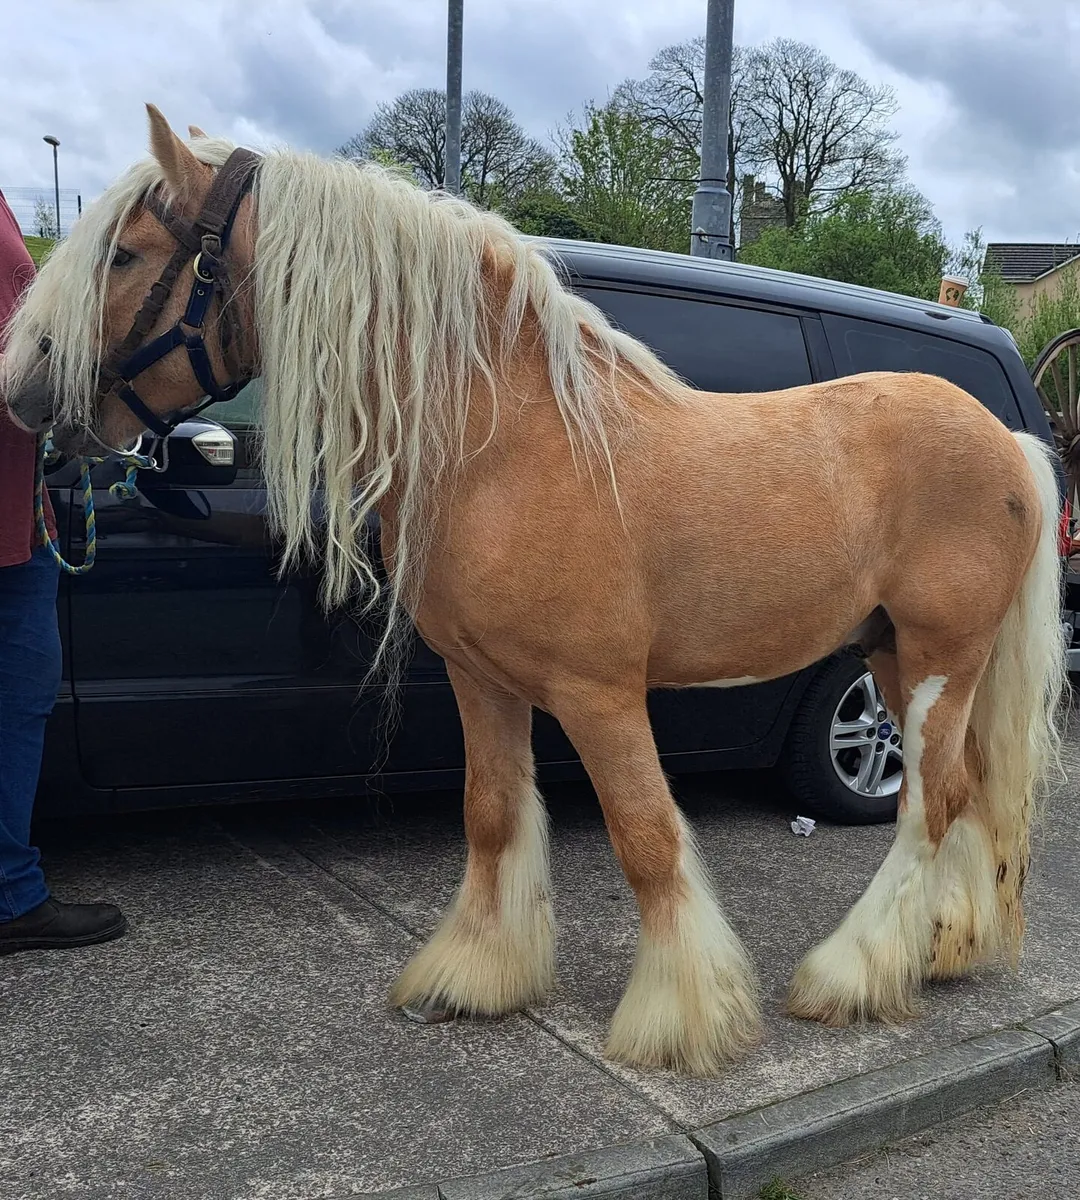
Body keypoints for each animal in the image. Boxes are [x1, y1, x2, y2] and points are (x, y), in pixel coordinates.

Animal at [3, 105, 1066, 1077]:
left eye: (129, 253)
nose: (25, 395)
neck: (507, 443)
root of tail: (1007, 438)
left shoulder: (600, 695)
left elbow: (646, 839)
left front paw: (680, 1021)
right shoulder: (482, 680)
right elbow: (492, 814)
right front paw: (476, 977)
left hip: (935, 662)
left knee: (925, 805)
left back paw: (850, 974)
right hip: (895, 658)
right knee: (963, 791)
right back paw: (941, 951)